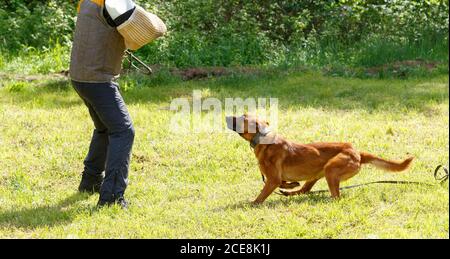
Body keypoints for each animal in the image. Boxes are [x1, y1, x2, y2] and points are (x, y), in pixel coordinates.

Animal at [227, 115, 414, 204]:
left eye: (242, 117)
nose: (227, 116)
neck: (263, 139)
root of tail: (357, 152)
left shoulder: (272, 179)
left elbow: (261, 195)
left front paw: (253, 203)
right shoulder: (276, 178)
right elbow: (284, 182)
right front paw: (290, 185)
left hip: (330, 169)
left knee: (335, 197)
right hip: (317, 173)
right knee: (305, 190)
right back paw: (291, 192)